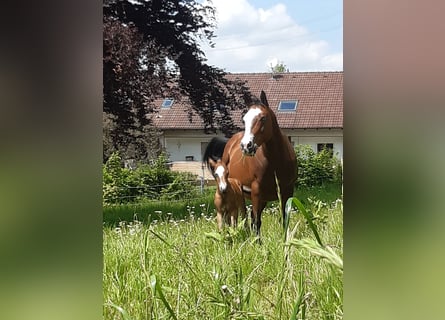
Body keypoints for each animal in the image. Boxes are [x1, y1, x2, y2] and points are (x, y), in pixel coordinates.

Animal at [204, 91, 294, 236]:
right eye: (244, 120)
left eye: (263, 118)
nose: (246, 145)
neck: (276, 162)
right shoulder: (256, 191)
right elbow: (257, 221)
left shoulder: (288, 190)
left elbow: (285, 218)